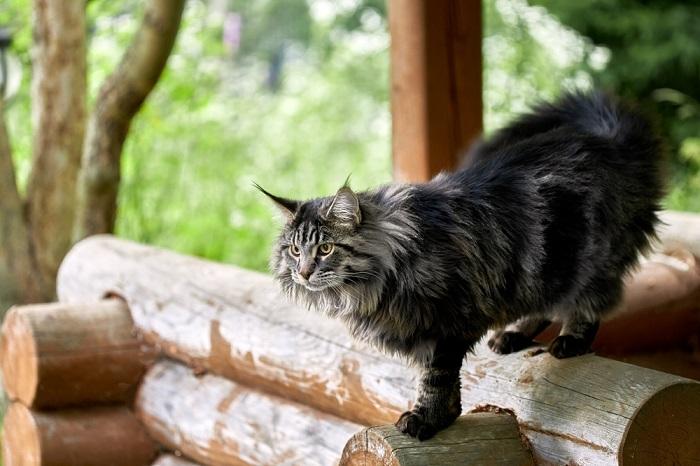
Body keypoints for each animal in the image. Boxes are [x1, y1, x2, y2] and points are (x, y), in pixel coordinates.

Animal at [260, 91, 664, 440]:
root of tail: (605, 139)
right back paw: (511, 336)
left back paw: (569, 342)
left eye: (325, 248)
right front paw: (444, 416)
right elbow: (435, 379)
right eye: (294, 250)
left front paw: (428, 420)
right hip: (542, 273)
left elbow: (435, 379)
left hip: (590, 262)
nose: (304, 272)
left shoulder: (449, 323)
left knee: (588, 304)